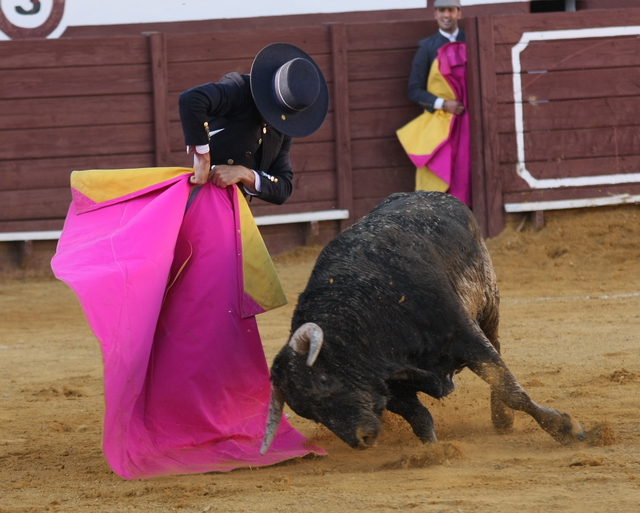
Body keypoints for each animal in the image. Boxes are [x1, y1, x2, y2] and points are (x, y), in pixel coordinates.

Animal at [260, 191, 584, 452]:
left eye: (324, 380)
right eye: (308, 411)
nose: (361, 440)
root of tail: (430, 194)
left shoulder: (465, 336)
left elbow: (508, 386)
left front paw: (566, 429)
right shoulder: (389, 383)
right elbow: (419, 417)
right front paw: (433, 453)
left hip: (488, 305)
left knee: (498, 349)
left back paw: (502, 419)